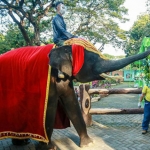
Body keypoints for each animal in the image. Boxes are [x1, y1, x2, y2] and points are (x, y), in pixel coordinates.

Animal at [0, 42, 150, 149]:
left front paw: (88, 143)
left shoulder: (65, 80)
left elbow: (72, 104)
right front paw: (49, 148)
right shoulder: (49, 82)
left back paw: (22, 143)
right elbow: (50, 109)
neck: (62, 48)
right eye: (93, 61)